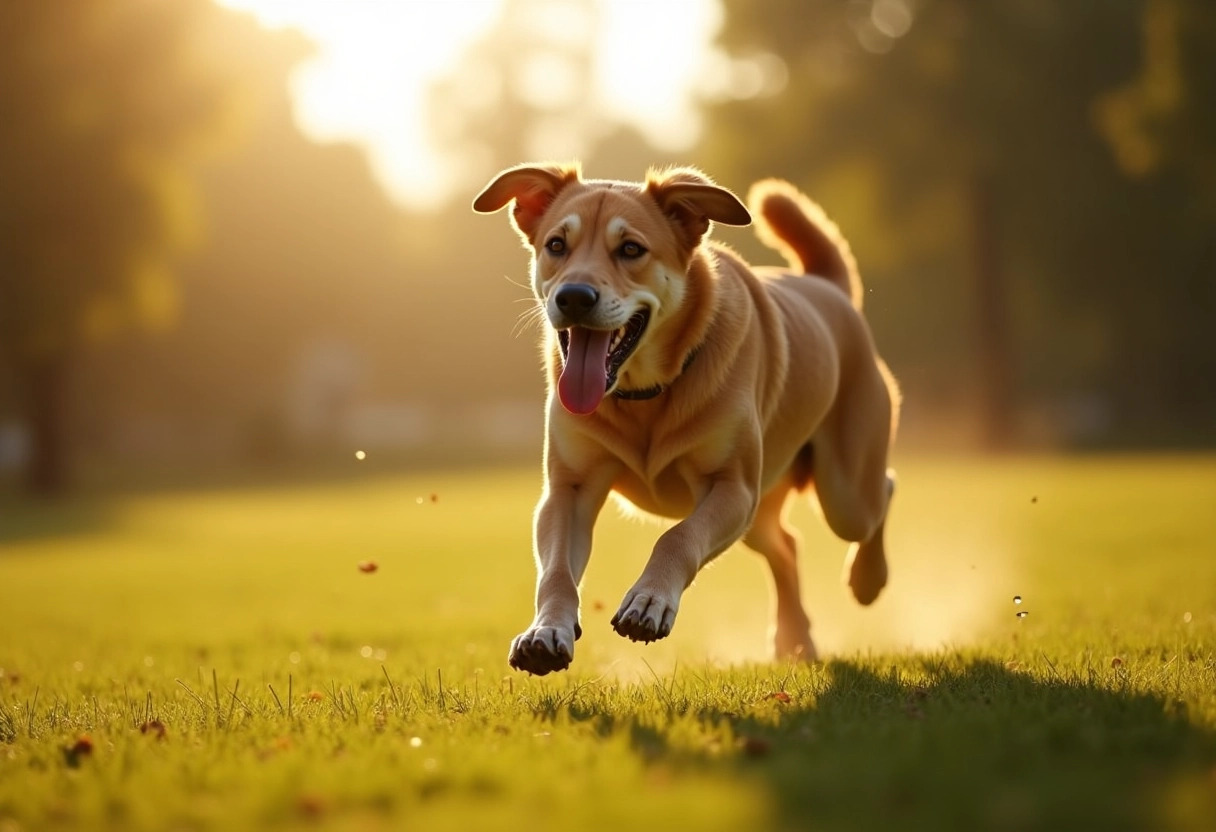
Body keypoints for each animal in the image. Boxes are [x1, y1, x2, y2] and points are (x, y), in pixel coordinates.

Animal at [474, 164, 904, 676]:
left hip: (842, 491)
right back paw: (794, 638)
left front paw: (649, 601)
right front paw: (545, 632)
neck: (645, 396)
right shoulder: (569, 487)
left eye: (631, 249)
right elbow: (556, 570)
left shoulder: (732, 487)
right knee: (786, 544)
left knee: (881, 492)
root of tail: (827, 286)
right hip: (764, 510)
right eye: (557, 244)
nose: (574, 297)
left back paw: (867, 577)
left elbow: (678, 536)